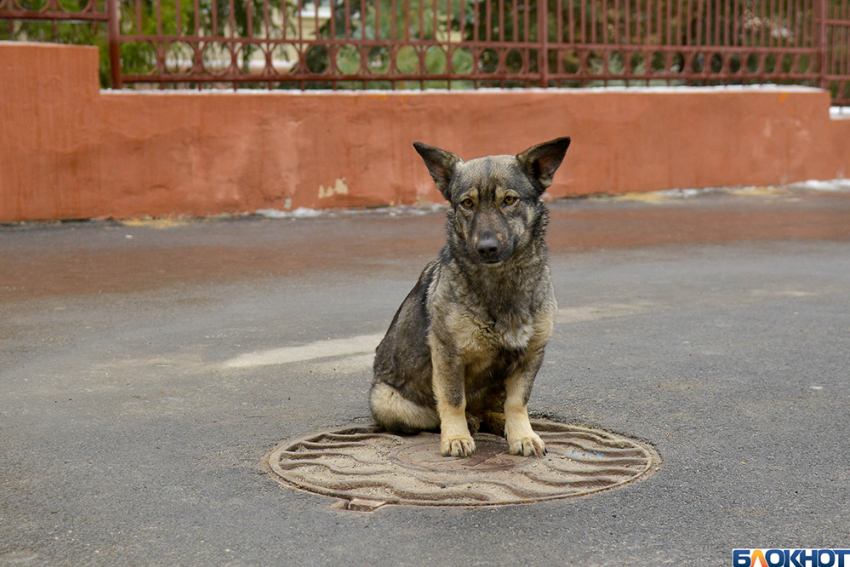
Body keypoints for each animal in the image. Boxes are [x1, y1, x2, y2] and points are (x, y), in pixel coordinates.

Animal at [366, 136, 568, 458]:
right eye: (468, 203)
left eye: (509, 200)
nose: (486, 248)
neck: (501, 284)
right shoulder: (448, 355)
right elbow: (452, 400)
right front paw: (456, 436)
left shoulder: (531, 355)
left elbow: (517, 403)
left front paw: (522, 435)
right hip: (387, 401)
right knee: (435, 415)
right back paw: (469, 422)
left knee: (491, 409)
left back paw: (497, 422)